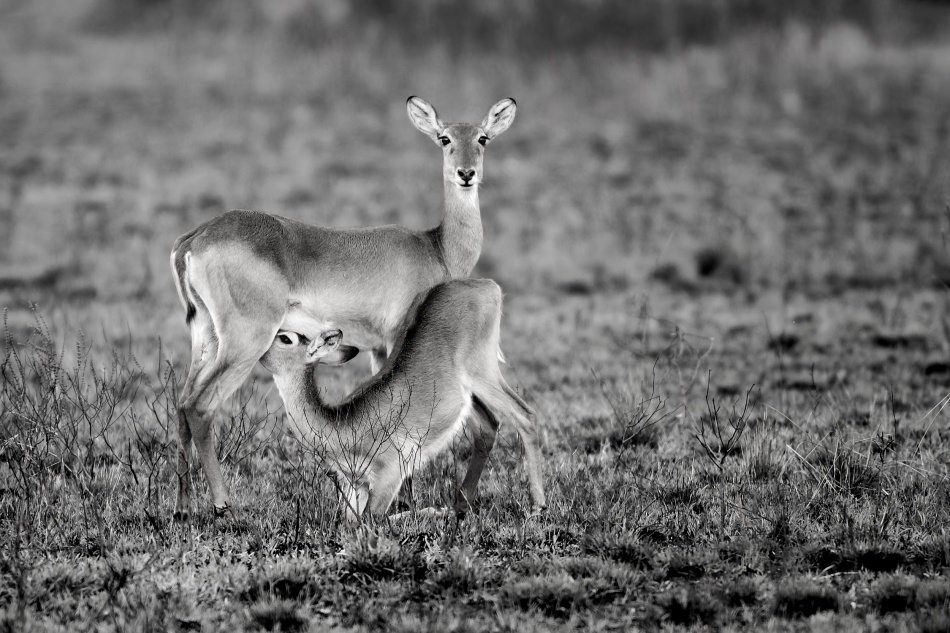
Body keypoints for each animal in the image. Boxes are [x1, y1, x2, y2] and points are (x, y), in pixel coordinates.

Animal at [167, 95, 516, 520]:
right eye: (444, 138)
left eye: (482, 138)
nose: (467, 174)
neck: (435, 247)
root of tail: (195, 238)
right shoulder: (394, 342)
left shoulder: (378, 348)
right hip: (244, 345)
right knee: (200, 407)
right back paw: (221, 503)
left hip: (206, 339)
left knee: (182, 405)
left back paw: (182, 506)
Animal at [260, 278, 548, 520]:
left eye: (285, 337)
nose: (259, 349)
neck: (342, 426)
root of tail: (488, 285)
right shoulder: (355, 486)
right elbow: (351, 522)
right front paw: (438, 509)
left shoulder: (390, 473)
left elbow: (374, 519)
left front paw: (432, 511)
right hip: (469, 396)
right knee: (489, 426)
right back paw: (459, 506)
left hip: (483, 374)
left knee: (526, 416)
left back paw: (538, 506)